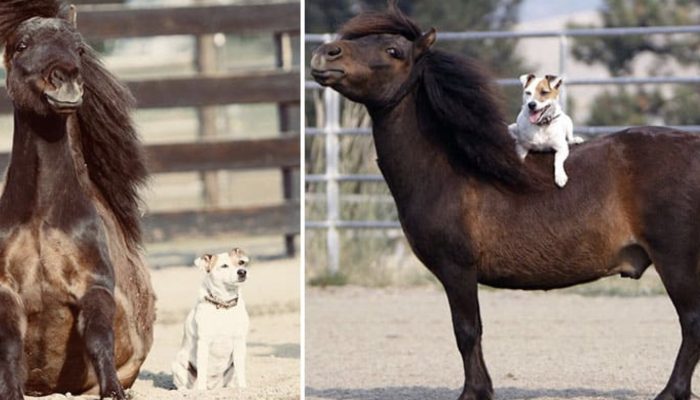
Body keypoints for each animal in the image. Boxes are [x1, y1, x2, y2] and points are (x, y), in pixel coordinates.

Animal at [0, 2, 155, 399]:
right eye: (22, 45)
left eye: (79, 49)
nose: (66, 77)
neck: (43, 217)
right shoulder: (5, 288)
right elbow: (9, 344)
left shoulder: (95, 284)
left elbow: (99, 337)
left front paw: (114, 390)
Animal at [311, 2, 700, 400]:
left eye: (393, 50)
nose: (326, 53)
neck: (448, 170)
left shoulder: (457, 269)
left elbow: (467, 331)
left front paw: (474, 391)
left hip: (676, 261)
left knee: (691, 323)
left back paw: (672, 391)